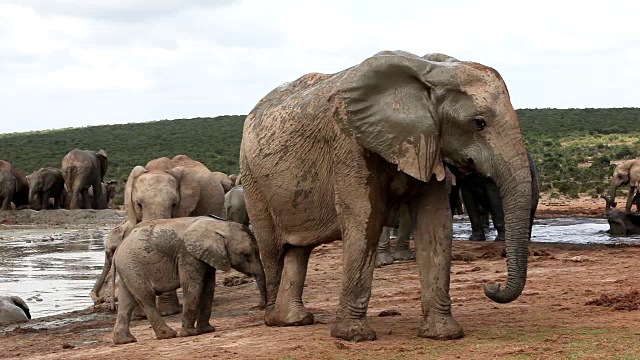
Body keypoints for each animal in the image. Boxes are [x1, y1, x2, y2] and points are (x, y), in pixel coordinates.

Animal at [111, 215, 266, 344]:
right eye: (246, 255)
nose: (260, 306)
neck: (219, 226)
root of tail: (118, 248)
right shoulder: (187, 255)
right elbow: (193, 286)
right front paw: (190, 333)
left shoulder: (206, 256)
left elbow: (208, 287)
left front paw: (207, 330)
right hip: (132, 266)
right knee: (146, 298)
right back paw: (168, 335)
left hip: (128, 269)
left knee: (127, 301)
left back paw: (125, 340)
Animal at [240, 50, 536, 340]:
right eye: (479, 123)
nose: (491, 285)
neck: (429, 73)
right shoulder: (350, 144)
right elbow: (366, 221)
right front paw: (353, 336)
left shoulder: (427, 143)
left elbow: (435, 223)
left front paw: (443, 334)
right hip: (251, 176)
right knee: (273, 248)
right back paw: (276, 320)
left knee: (298, 249)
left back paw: (296, 319)